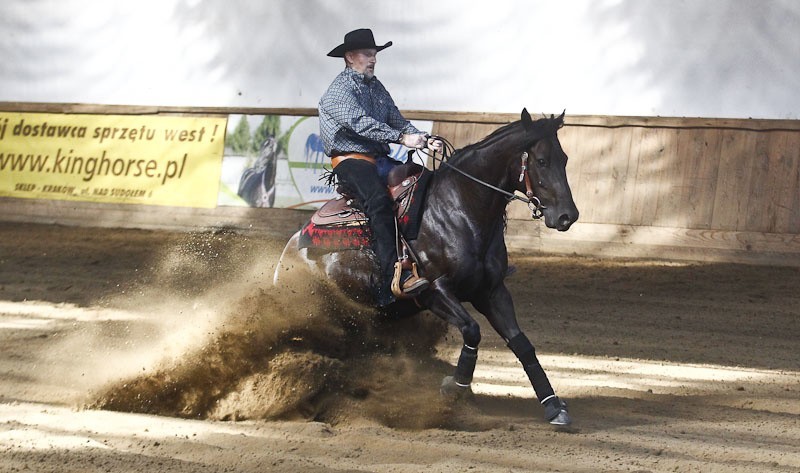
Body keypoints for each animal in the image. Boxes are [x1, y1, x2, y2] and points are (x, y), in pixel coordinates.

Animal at [276, 109, 580, 426]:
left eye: (564, 159)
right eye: (541, 160)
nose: (567, 216)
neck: (459, 207)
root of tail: (291, 249)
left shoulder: (492, 291)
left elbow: (522, 345)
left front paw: (553, 405)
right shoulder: (434, 291)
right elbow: (472, 330)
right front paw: (453, 388)